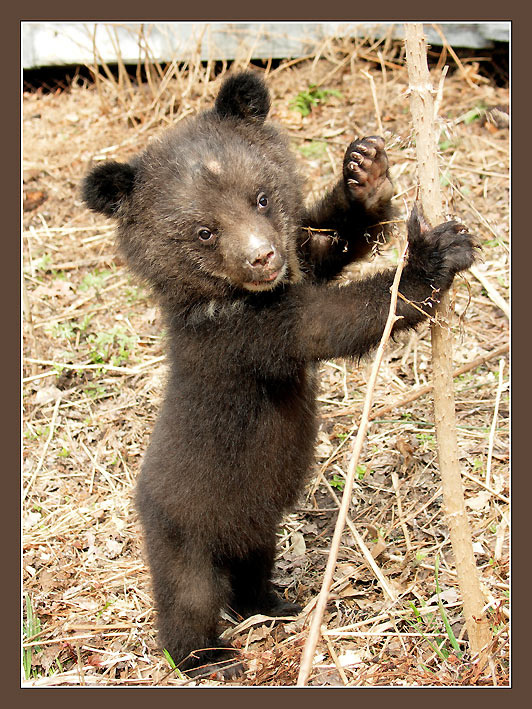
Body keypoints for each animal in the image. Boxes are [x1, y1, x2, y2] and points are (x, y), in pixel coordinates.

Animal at [82, 70, 477, 679]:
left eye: (261, 198)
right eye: (203, 232)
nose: (263, 257)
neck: (237, 296)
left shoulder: (297, 267)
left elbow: (325, 248)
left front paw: (366, 174)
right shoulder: (244, 339)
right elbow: (330, 322)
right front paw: (434, 256)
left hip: (254, 521)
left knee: (251, 565)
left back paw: (273, 601)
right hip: (182, 533)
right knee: (188, 601)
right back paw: (207, 659)